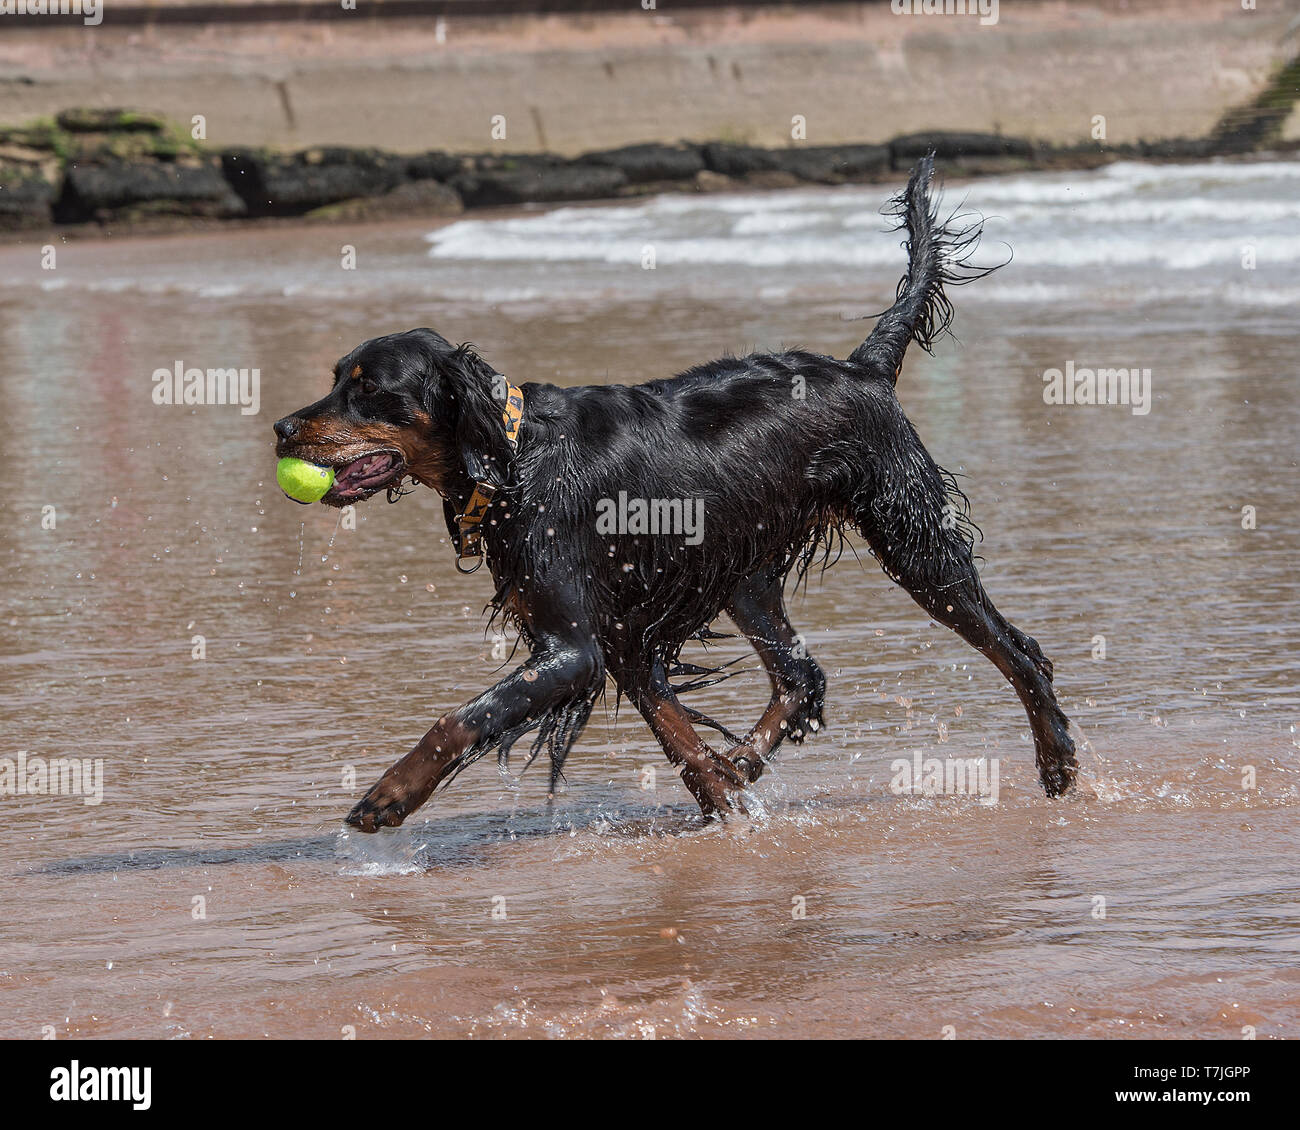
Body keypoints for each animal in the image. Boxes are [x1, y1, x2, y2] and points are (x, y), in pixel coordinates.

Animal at [271, 156, 1076, 827]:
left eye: (368, 389)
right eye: (336, 378)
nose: (280, 427)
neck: (515, 456)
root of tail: (863, 366)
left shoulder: (576, 646)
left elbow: (462, 718)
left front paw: (386, 796)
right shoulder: (625, 629)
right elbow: (678, 735)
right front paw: (724, 795)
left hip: (910, 534)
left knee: (1018, 651)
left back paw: (1058, 763)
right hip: (745, 569)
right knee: (802, 678)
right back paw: (746, 761)